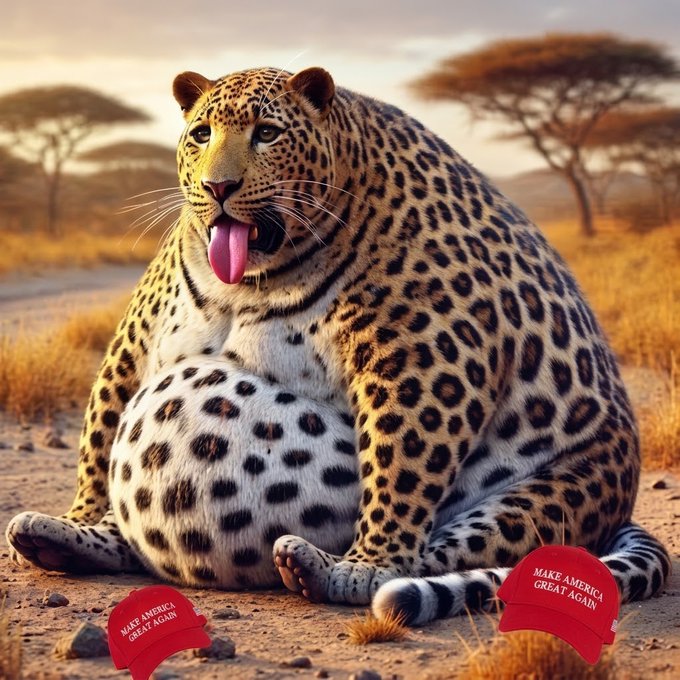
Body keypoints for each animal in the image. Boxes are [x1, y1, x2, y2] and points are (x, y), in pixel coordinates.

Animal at [6, 65, 670, 625]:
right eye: (200, 134)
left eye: (267, 134)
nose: (219, 186)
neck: (256, 277)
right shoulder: (135, 340)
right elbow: (102, 430)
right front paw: (82, 523)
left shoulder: (427, 350)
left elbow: (403, 461)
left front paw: (369, 565)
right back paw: (61, 542)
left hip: (551, 491)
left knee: (453, 551)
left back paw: (329, 571)